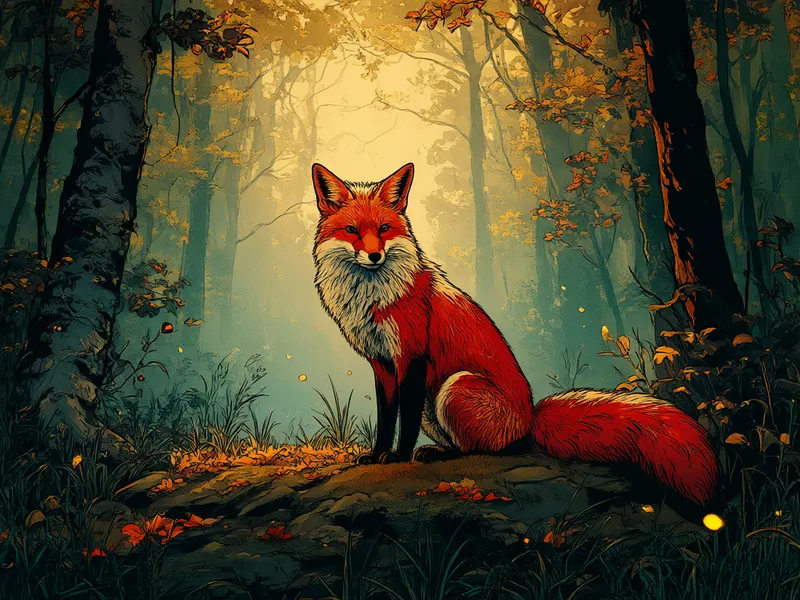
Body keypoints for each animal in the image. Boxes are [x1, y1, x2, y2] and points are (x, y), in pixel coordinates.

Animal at [311, 162, 720, 506]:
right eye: (352, 231)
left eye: (383, 230)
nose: (375, 257)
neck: (371, 297)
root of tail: (530, 417)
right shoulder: (382, 363)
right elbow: (385, 417)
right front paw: (377, 454)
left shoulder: (411, 357)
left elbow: (404, 422)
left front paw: (397, 456)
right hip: (436, 402)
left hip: (454, 385)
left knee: (487, 450)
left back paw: (436, 453)